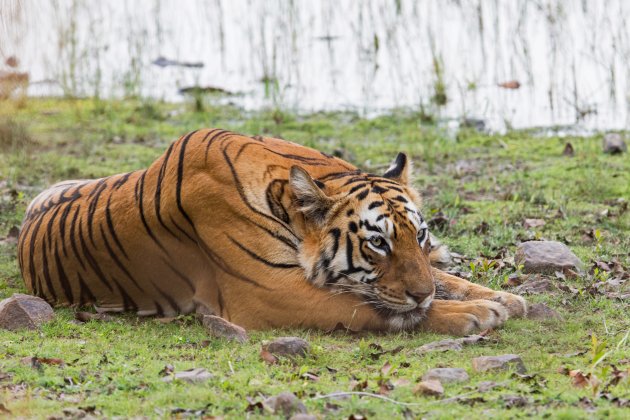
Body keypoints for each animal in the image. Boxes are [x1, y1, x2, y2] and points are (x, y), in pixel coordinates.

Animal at [17, 128, 524, 334]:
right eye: (377, 243)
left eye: (416, 236)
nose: (421, 295)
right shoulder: (268, 292)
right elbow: (367, 306)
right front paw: (475, 313)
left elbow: (443, 279)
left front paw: (503, 298)